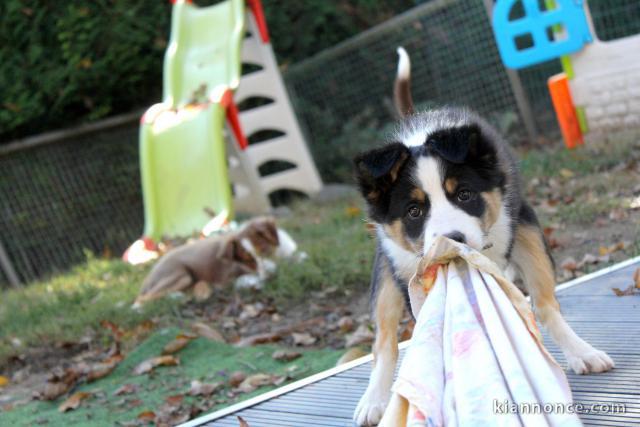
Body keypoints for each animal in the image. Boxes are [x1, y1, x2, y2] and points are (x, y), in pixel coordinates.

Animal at [352, 48, 612, 426]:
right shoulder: (403, 264)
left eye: (464, 194)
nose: (453, 238)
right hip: (387, 270)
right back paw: (373, 400)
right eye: (414, 212)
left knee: (543, 302)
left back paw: (583, 353)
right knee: (384, 339)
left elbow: (534, 301)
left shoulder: (518, 223)